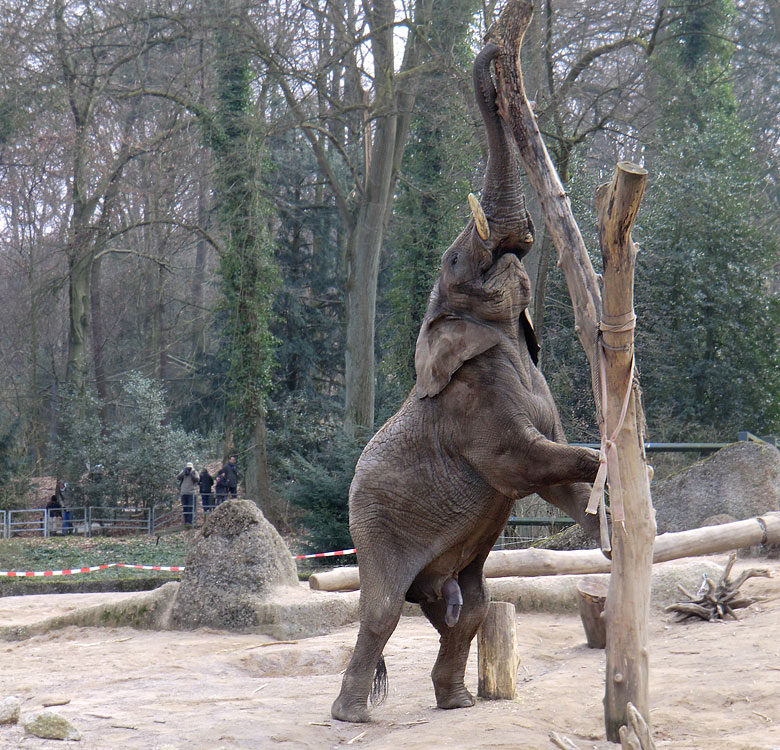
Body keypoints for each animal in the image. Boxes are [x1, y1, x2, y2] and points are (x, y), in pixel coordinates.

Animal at [332, 44, 600, 724]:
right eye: (455, 261)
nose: (498, 55)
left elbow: (550, 478)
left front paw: (610, 528)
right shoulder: (473, 405)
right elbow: (521, 462)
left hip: (443, 567)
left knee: (469, 609)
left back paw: (455, 703)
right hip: (375, 529)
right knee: (382, 612)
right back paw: (353, 717)